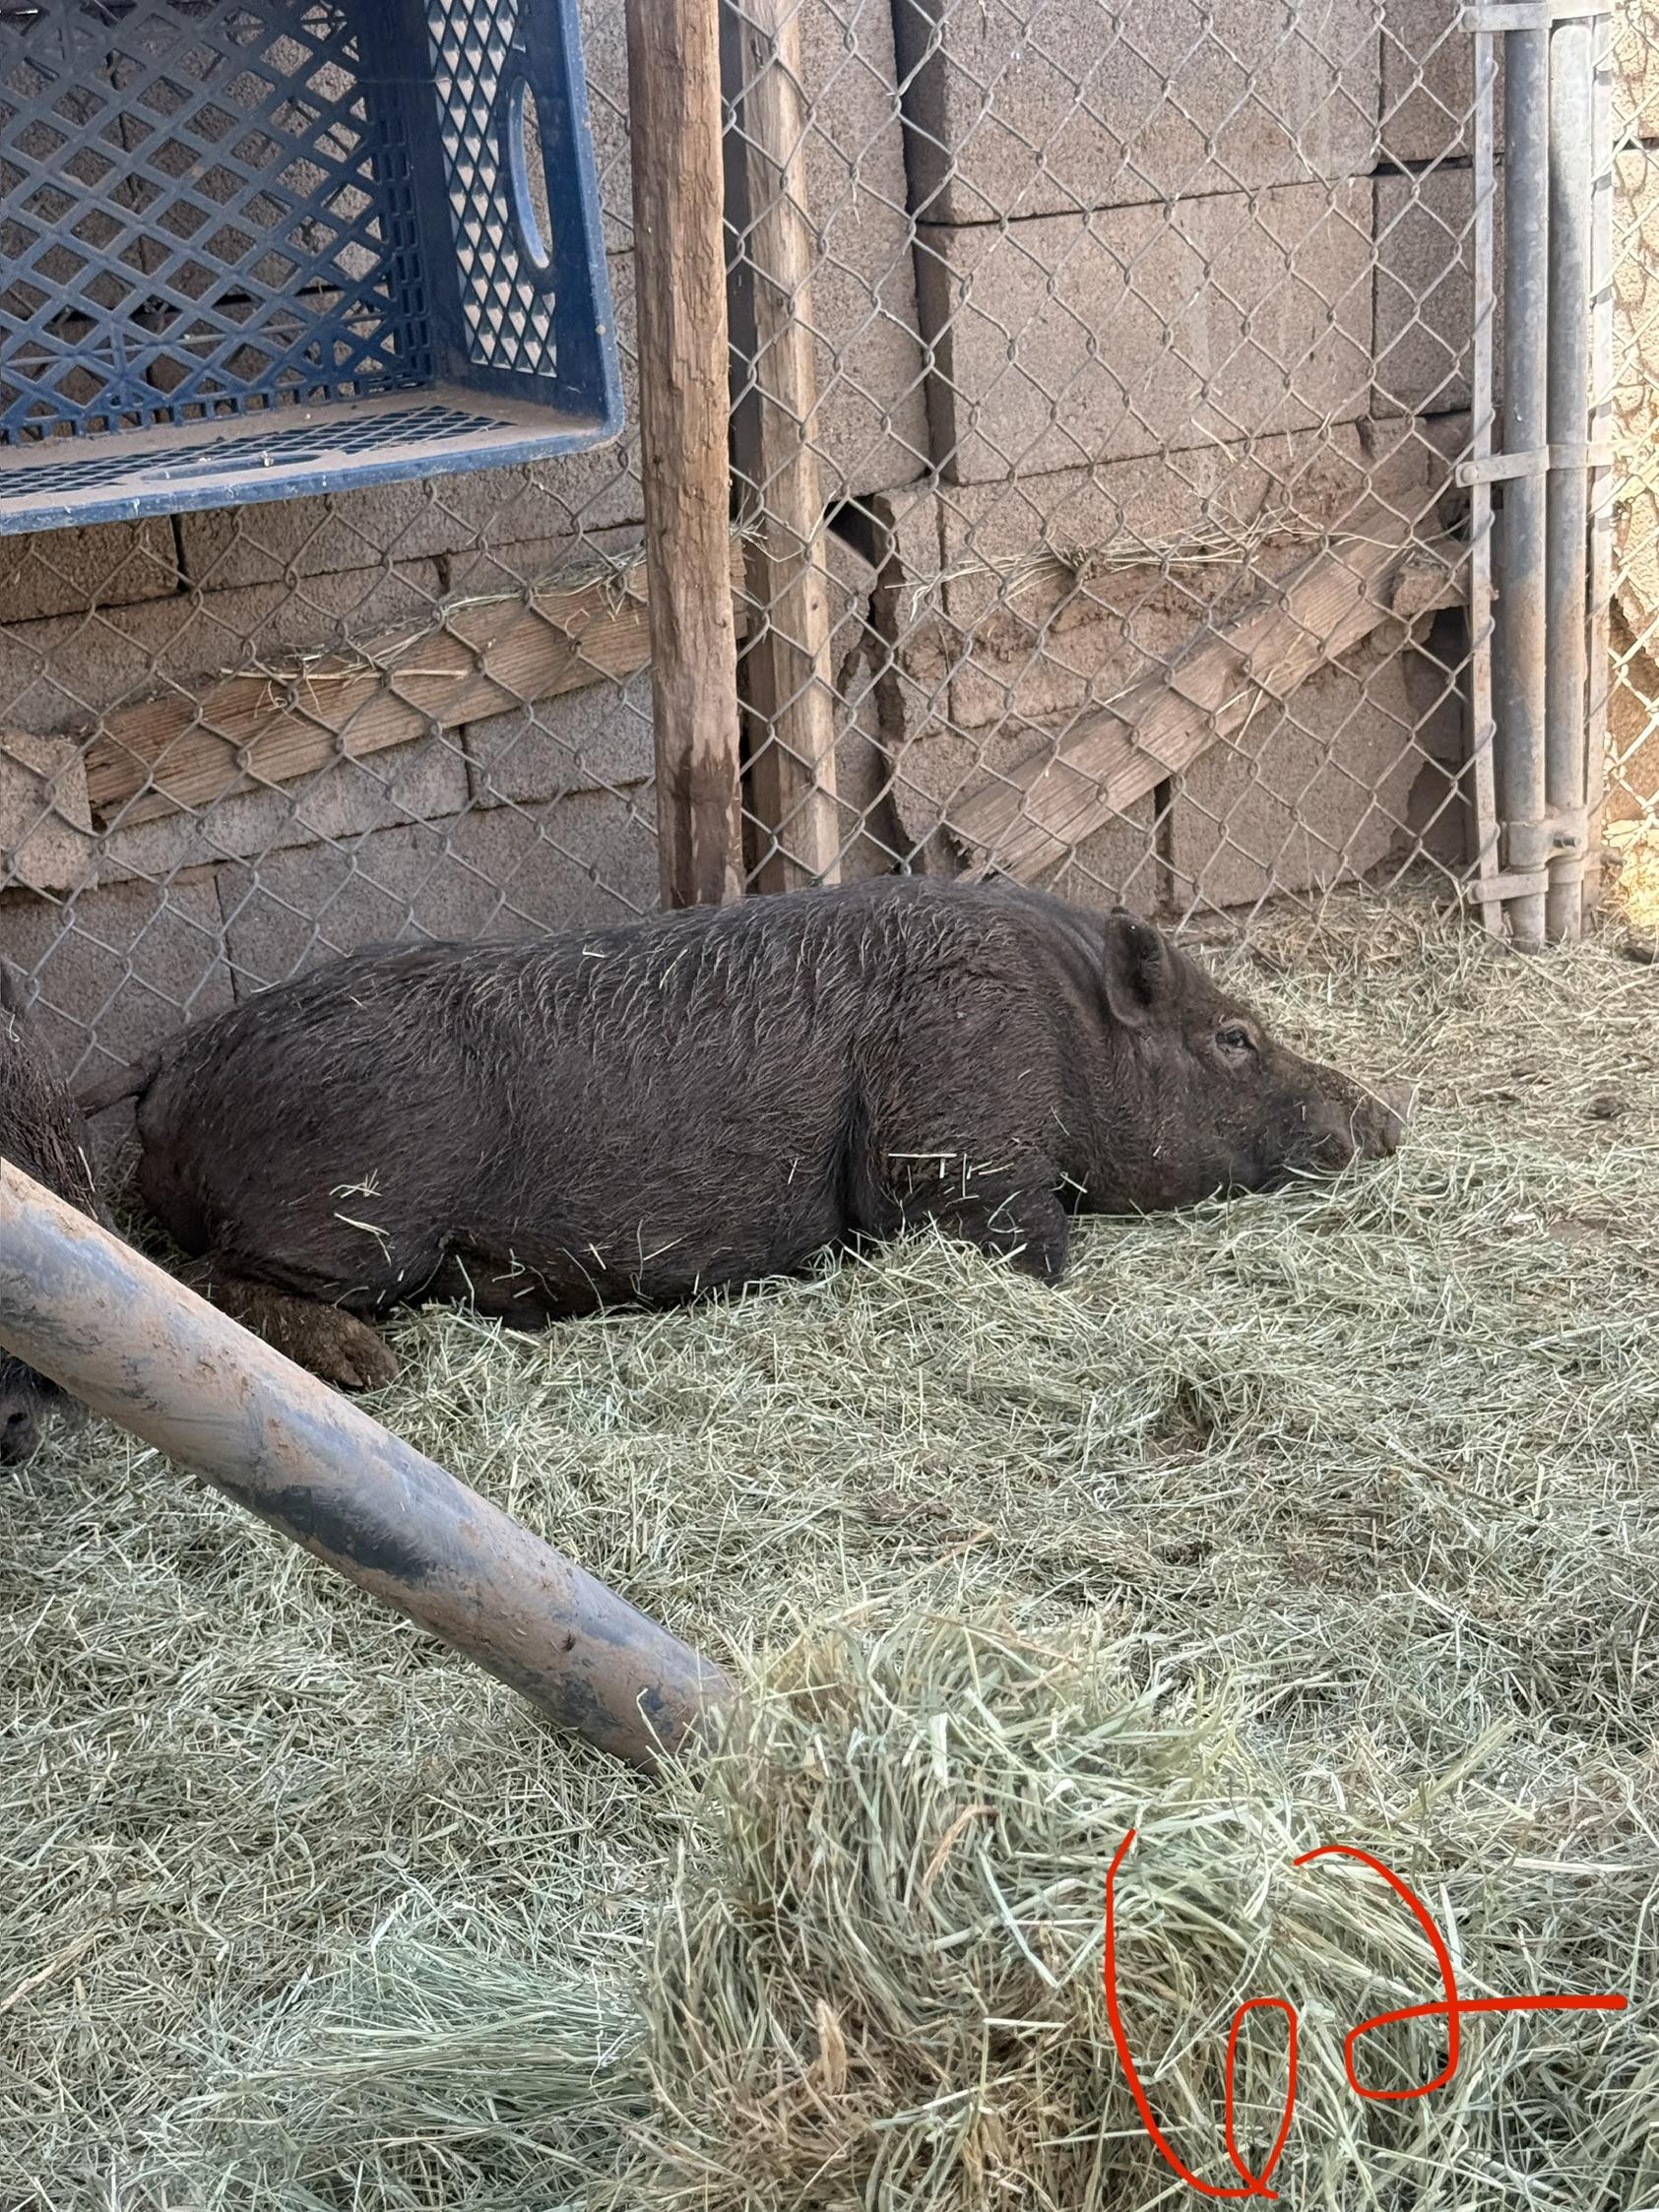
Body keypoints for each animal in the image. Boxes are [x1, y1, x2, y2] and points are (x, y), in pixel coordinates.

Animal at [80, 880, 1405, 1392]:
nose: (1384, 1116)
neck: (1064, 1030)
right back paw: (372, 1370)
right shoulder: (966, 1148)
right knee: (206, 1280)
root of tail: (171, 1065)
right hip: (361, 1213)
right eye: (1232, 1038)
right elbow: (1037, 1247)